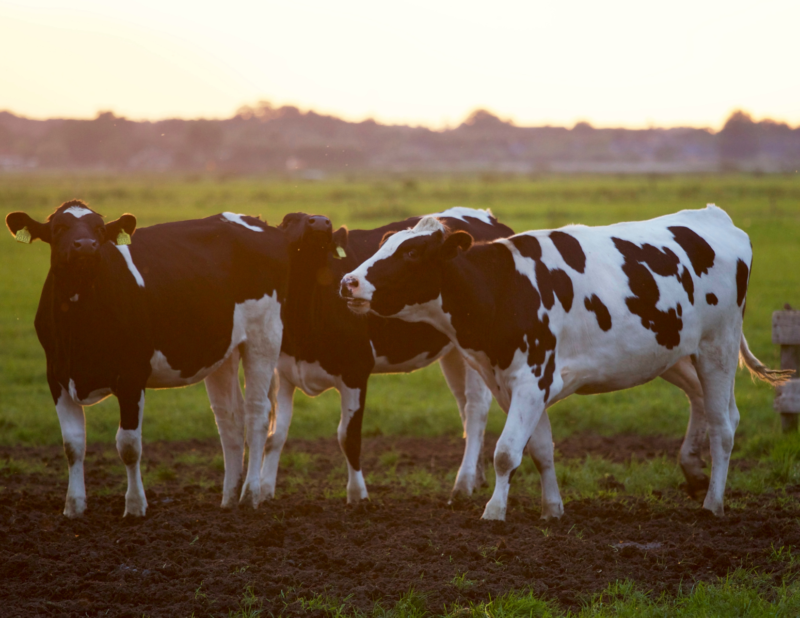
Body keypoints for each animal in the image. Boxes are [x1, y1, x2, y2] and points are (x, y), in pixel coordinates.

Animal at [5, 201, 288, 516]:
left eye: (99, 229)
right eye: (59, 228)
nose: (86, 246)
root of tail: (257, 222)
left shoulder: (131, 376)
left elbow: (128, 445)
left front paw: (135, 506)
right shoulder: (56, 376)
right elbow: (73, 445)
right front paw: (74, 507)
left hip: (264, 336)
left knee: (257, 414)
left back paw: (250, 495)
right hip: (223, 350)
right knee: (230, 418)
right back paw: (228, 499)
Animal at [260, 207, 516, 500]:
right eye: (289, 221)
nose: (321, 222)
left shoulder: (356, 369)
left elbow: (349, 437)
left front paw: (358, 496)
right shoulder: (284, 371)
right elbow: (275, 435)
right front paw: (263, 492)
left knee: (475, 409)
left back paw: (463, 484)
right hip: (455, 352)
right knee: (464, 406)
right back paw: (476, 477)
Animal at [340, 205, 792, 516]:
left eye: (413, 254)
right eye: (384, 245)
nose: (348, 282)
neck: (504, 287)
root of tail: (715, 217)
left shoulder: (532, 378)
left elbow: (506, 452)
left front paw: (494, 512)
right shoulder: (516, 384)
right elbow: (540, 449)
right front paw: (552, 508)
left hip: (718, 346)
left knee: (723, 426)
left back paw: (713, 503)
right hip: (674, 352)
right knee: (708, 404)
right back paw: (694, 472)